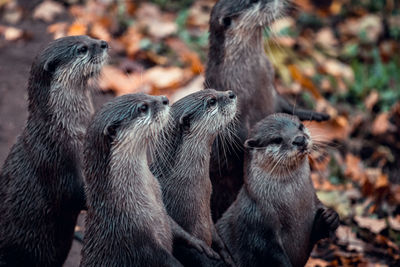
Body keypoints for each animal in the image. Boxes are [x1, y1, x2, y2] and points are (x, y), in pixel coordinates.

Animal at [0, 35, 108, 267]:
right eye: (82, 49)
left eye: (89, 37)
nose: (104, 43)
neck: (63, 130)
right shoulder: (54, 158)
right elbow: (72, 195)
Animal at [81, 94, 219, 267]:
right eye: (142, 108)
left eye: (145, 94)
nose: (165, 99)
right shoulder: (137, 239)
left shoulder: (162, 210)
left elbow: (176, 227)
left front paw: (198, 243)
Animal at [214, 114, 340, 267]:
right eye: (277, 139)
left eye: (300, 126)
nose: (299, 139)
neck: (293, 205)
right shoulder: (257, 225)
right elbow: (270, 255)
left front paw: (330, 217)